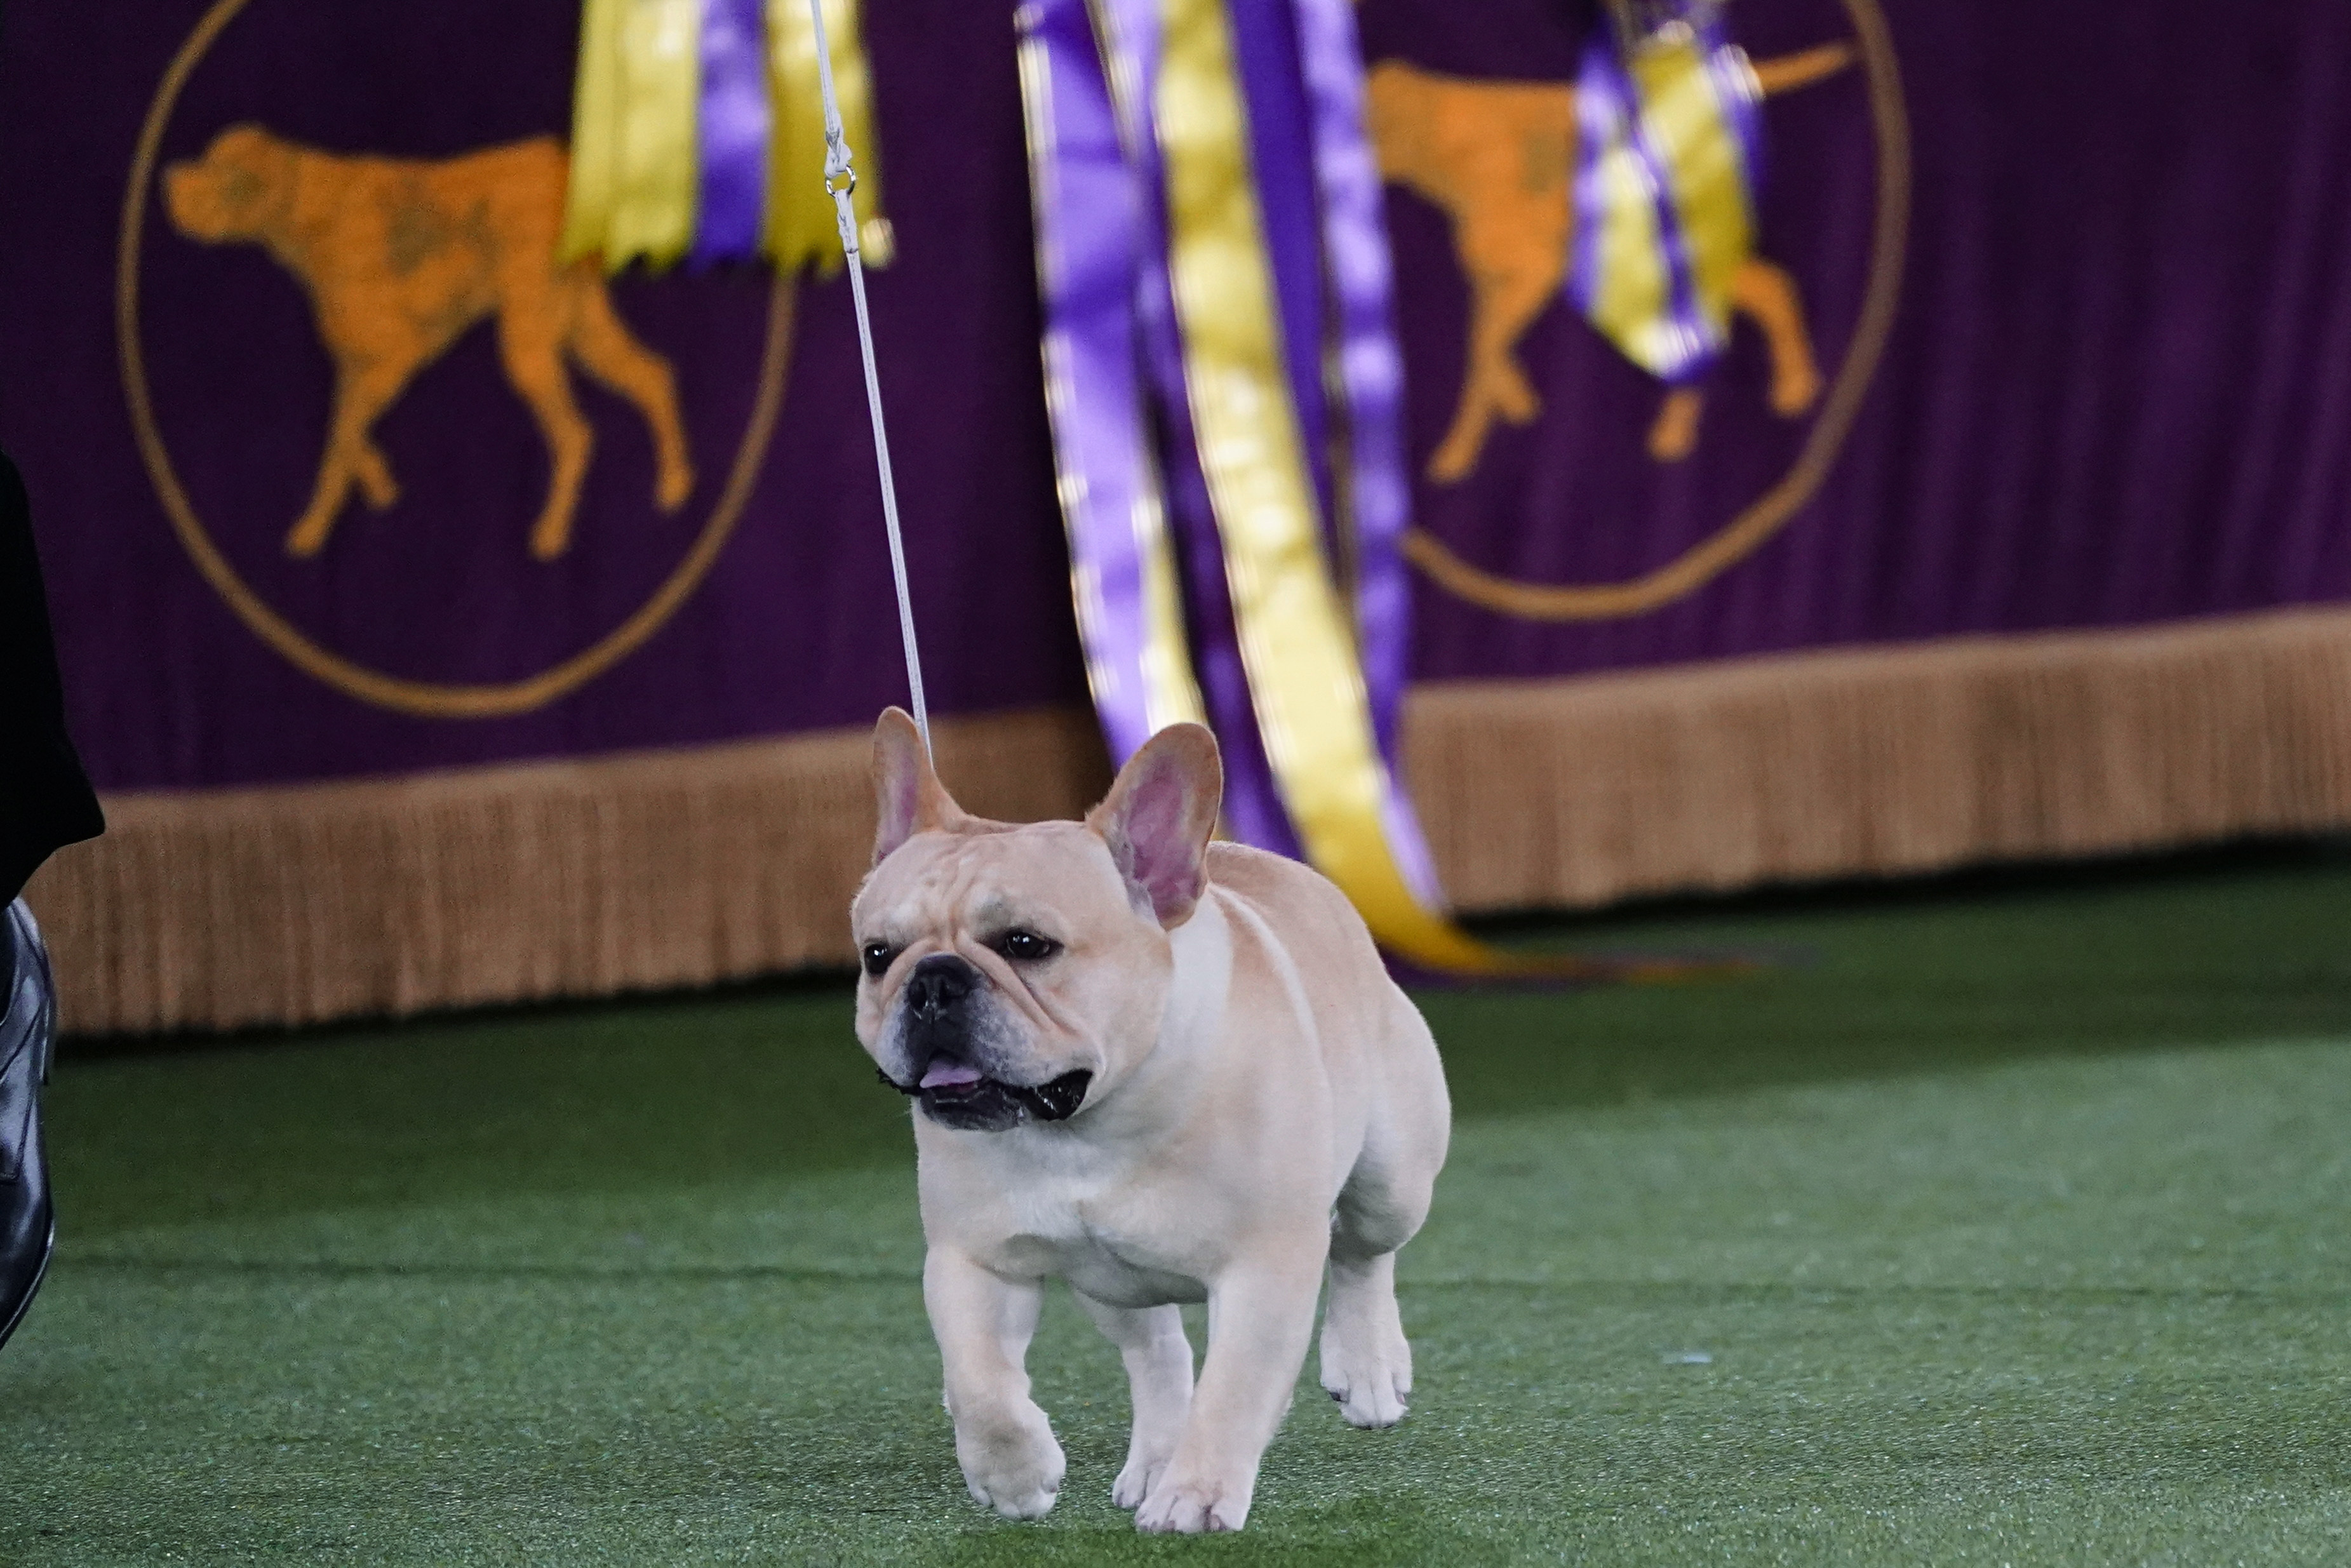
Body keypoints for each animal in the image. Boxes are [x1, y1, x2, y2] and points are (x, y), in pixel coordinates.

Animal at [855, 709, 1438, 1532]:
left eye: (1026, 945)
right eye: (879, 956)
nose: (933, 981)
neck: (1087, 1127)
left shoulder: (1265, 1268)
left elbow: (1234, 1392)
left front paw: (1196, 1496)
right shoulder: (974, 1261)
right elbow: (979, 1381)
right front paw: (1013, 1474)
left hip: (1394, 1178)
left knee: (1363, 1254)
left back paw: (1367, 1367)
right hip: (1114, 1283)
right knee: (1158, 1353)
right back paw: (1156, 1456)